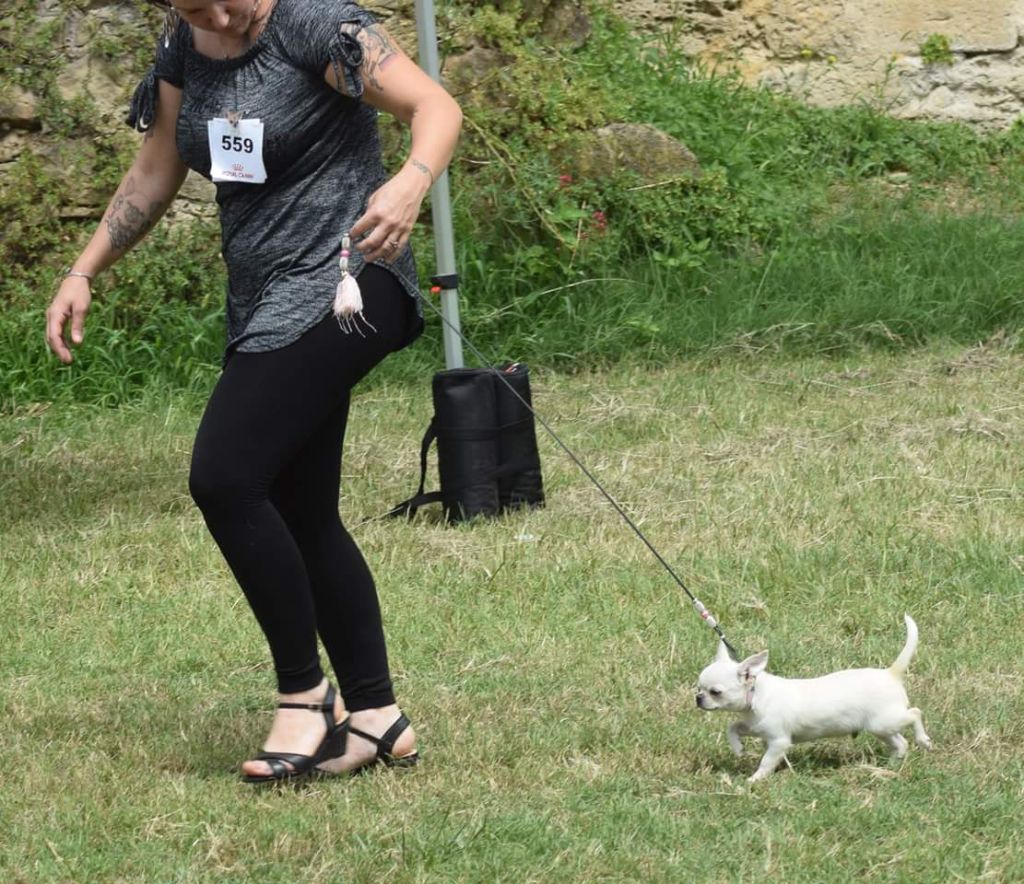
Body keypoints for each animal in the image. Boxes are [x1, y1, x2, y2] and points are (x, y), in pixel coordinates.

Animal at [696, 615, 932, 781]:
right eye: (698, 687)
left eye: (715, 692)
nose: (698, 698)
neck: (755, 695)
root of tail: (890, 673)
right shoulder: (755, 728)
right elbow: (733, 728)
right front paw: (738, 748)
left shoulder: (778, 741)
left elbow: (766, 761)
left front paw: (755, 779)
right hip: (881, 728)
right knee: (901, 743)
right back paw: (889, 765)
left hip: (884, 722)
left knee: (915, 713)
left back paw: (923, 739)